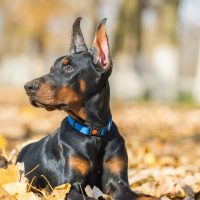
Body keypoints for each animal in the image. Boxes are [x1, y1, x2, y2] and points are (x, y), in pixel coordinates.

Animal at [16, 17, 156, 200]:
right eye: (51, 69)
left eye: (69, 68)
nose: (28, 87)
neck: (94, 132)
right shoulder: (69, 186)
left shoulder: (119, 183)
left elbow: (144, 196)